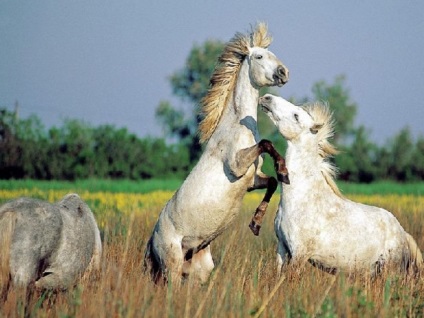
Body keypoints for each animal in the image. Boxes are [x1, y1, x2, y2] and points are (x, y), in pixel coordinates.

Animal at [145, 23, 288, 284]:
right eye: (259, 57)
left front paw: (256, 224)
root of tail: (152, 241)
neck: (237, 126)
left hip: (198, 270)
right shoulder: (236, 165)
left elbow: (272, 181)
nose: (284, 73)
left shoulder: (251, 179)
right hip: (172, 266)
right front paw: (284, 171)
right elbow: (266, 143)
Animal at [260, 94, 422, 276]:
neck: (302, 199)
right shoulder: (282, 248)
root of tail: (403, 233)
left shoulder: (299, 255)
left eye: (296, 116)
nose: (266, 98)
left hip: (390, 271)